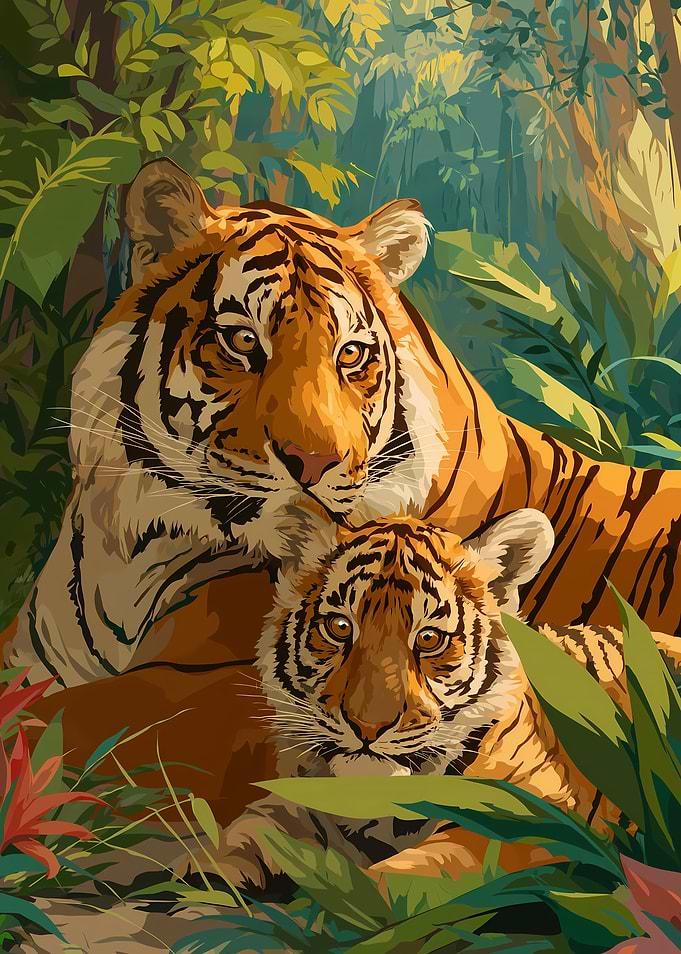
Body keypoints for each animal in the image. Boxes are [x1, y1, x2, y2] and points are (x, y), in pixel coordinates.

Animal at [174, 507, 681, 892]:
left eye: (430, 639)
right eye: (339, 627)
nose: (367, 727)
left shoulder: (535, 811)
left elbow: (419, 871)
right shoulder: (298, 796)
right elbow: (251, 825)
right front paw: (204, 871)